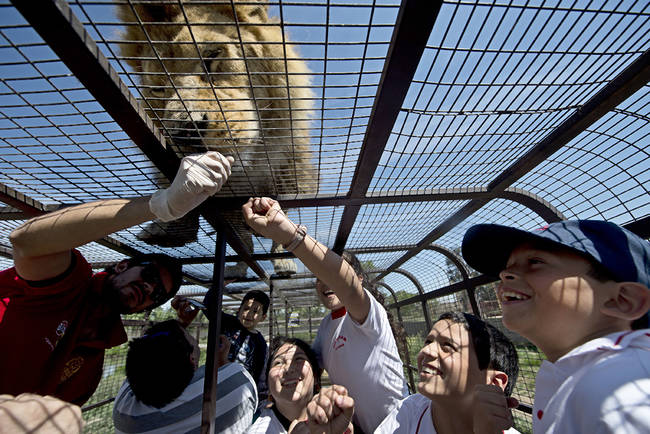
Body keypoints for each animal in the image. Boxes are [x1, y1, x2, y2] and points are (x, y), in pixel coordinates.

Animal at [119, 0, 316, 278]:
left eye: (212, 56)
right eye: (158, 89)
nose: (184, 130)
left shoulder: (291, 175)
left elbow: (282, 214)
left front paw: (283, 258)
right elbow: (239, 238)